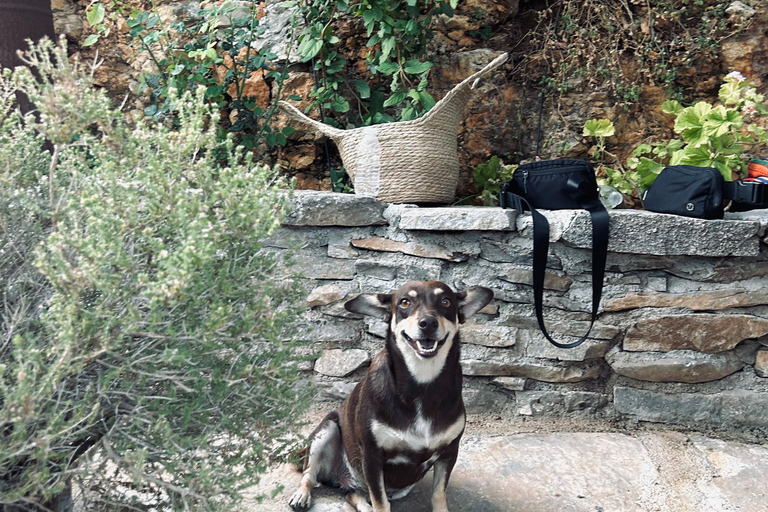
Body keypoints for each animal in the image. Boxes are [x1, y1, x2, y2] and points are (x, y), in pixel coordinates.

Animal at [288, 282, 492, 510]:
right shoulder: (372, 457)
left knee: (352, 494)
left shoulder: (449, 452)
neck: (422, 383)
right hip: (327, 429)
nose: (428, 323)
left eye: (446, 301)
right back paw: (302, 495)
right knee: (310, 474)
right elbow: (381, 502)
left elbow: (438, 494)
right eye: (404, 302)